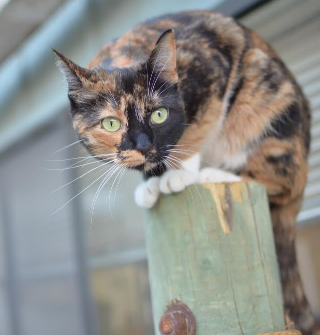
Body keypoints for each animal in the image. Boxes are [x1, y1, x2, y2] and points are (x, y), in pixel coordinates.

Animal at [53, 10, 318, 335]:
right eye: (111, 124)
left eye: (159, 114)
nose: (144, 145)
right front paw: (151, 183)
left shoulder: (213, 72)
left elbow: (196, 129)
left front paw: (179, 172)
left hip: (268, 97)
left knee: (279, 180)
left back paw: (213, 172)